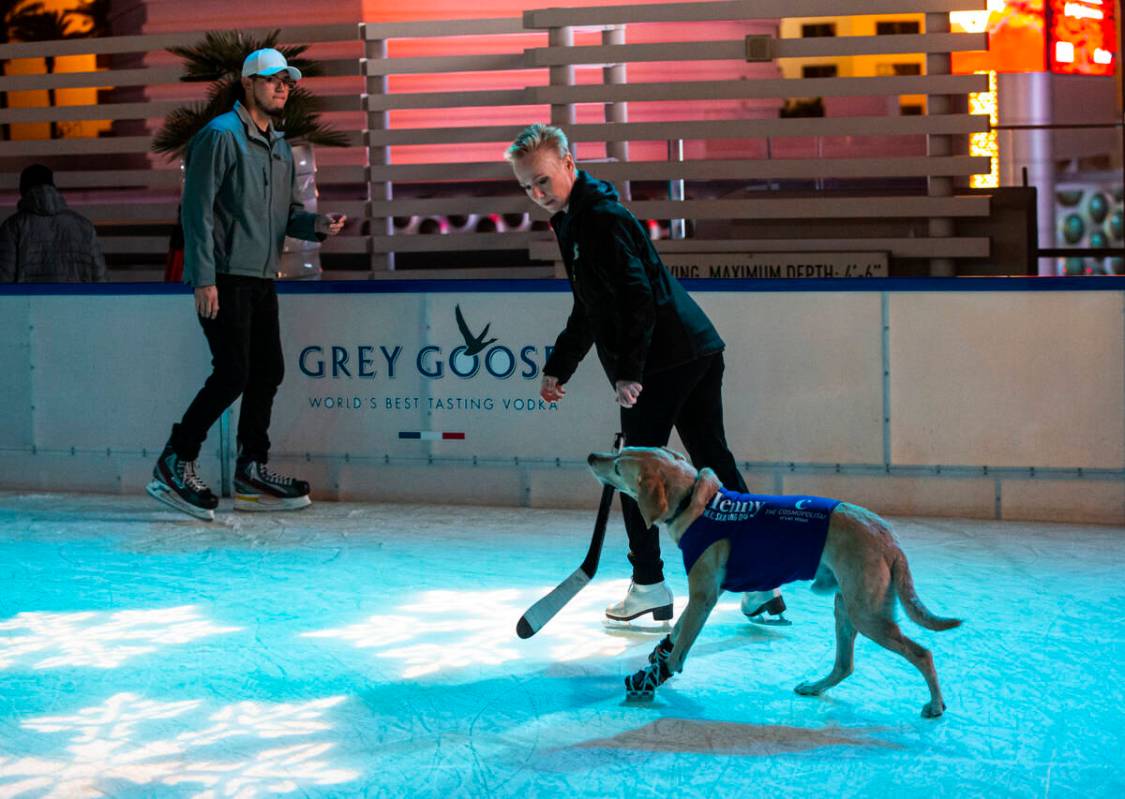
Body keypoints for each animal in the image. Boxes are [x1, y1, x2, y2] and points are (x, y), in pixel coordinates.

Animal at [585, 443, 963, 720]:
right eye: (620, 453)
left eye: (618, 467)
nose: (591, 457)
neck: (697, 502)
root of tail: (887, 537)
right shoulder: (705, 596)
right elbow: (677, 628)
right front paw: (660, 652)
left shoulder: (704, 596)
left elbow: (682, 642)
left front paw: (659, 671)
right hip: (847, 608)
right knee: (845, 664)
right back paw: (815, 686)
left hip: (868, 615)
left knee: (922, 653)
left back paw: (935, 704)